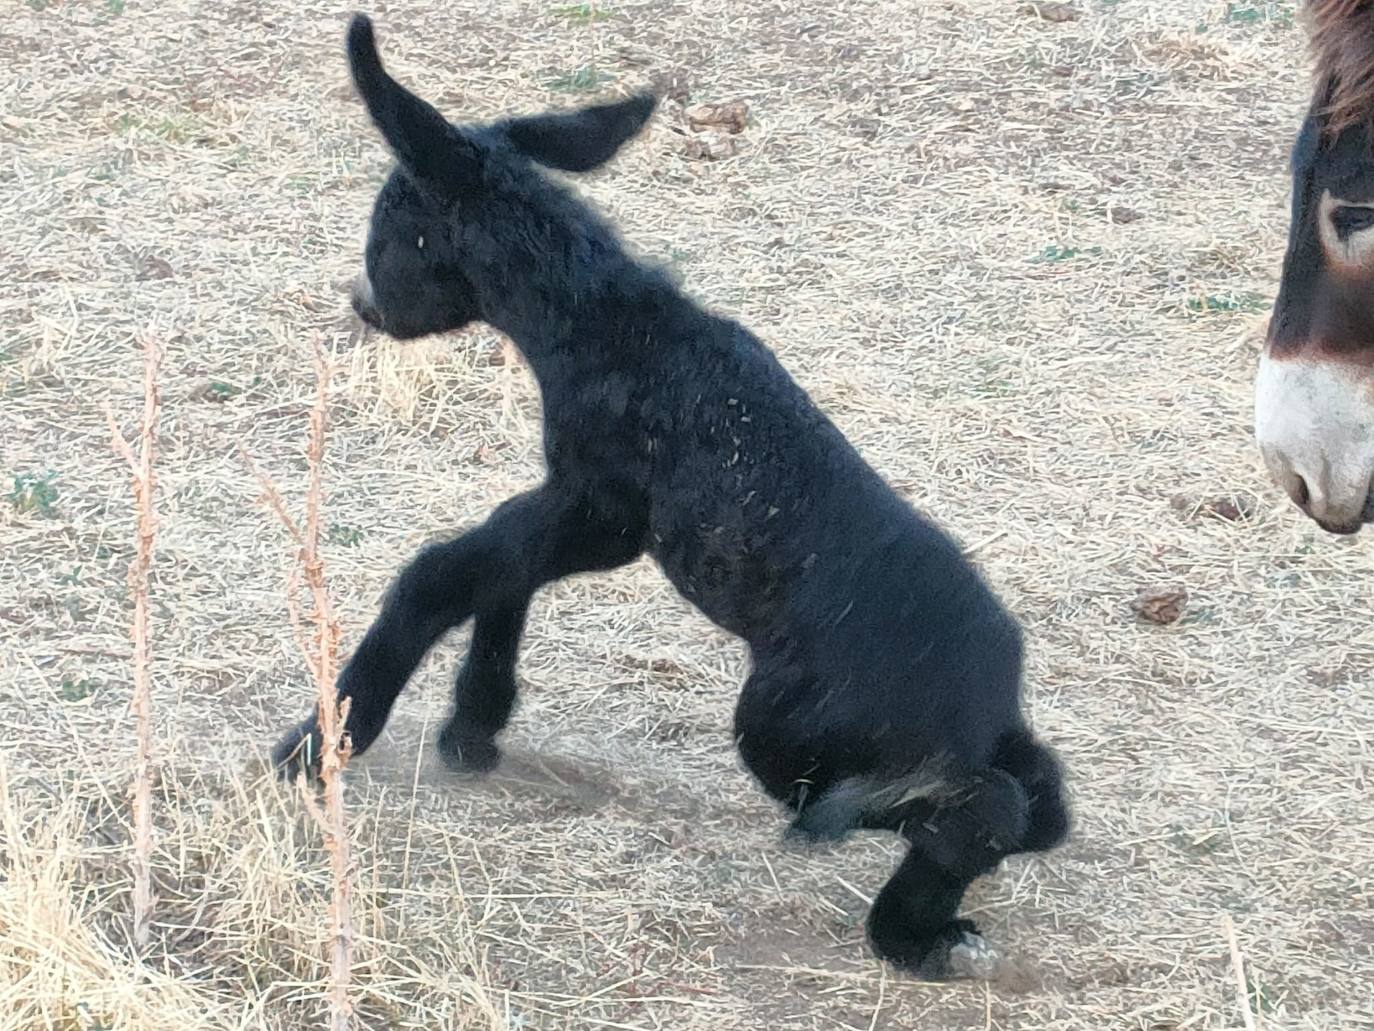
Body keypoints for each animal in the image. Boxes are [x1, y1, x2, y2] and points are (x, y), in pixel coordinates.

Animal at [276, 14, 1071, 984]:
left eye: (392, 226)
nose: (362, 305)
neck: (606, 327)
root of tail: (985, 704)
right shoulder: (597, 513)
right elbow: (501, 567)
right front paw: (472, 723)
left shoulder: (604, 502)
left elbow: (447, 570)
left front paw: (324, 739)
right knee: (1032, 805)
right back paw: (934, 924)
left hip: (785, 722)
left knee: (945, 805)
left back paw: (902, 924)